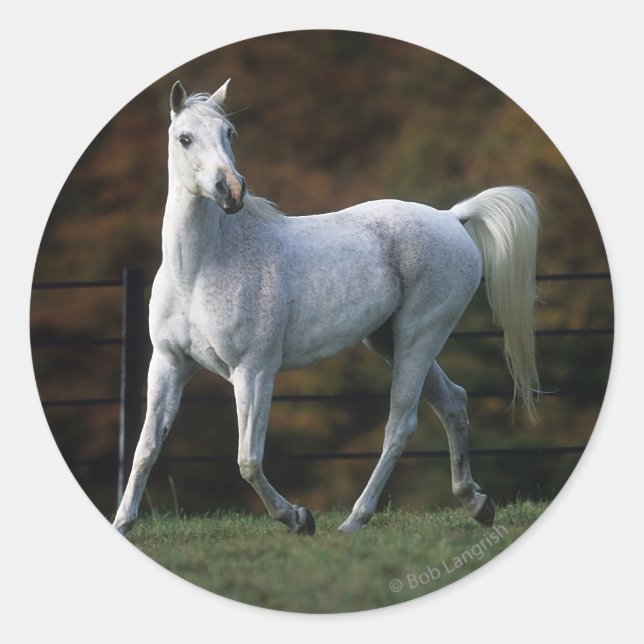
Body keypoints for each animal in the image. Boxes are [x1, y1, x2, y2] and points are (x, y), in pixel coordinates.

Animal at [113, 79, 539, 536]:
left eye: (230, 134)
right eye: (184, 138)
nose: (232, 191)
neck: (199, 270)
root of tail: (452, 216)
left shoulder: (254, 372)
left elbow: (248, 460)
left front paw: (298, 518)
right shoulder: (169, 365)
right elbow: (146, 447)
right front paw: (122, 523)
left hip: (419, 336)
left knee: (400, 424)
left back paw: (354, 521)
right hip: (388, 342)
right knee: (453, 402)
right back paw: (477, 504)